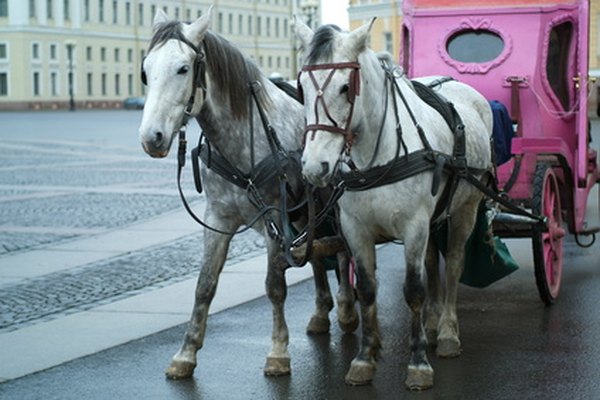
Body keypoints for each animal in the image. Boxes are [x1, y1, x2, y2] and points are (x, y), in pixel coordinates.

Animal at [138, 7, 358, 380]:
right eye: (145, 71)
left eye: (183, 68)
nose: (151, 137)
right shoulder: (218, 218)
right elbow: (205, 285)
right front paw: (186, 353)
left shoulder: (274, 220)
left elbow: (275, 286)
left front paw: (279, 351)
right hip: (307, 212)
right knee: (317, 254)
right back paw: (321, 312)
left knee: (342, 253)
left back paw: (345, 310)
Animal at [294, 19, 492, 390]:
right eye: (300, 88)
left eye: (346, 87)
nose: (315, 167)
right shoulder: (356, 230)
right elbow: (367, 289)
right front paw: (364, 358)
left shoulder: (414, 225)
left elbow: (413, 290)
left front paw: (418, 363)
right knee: (431, 262)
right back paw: (431, 323)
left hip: (466, 209)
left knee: (453, 263)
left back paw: (447, 331)